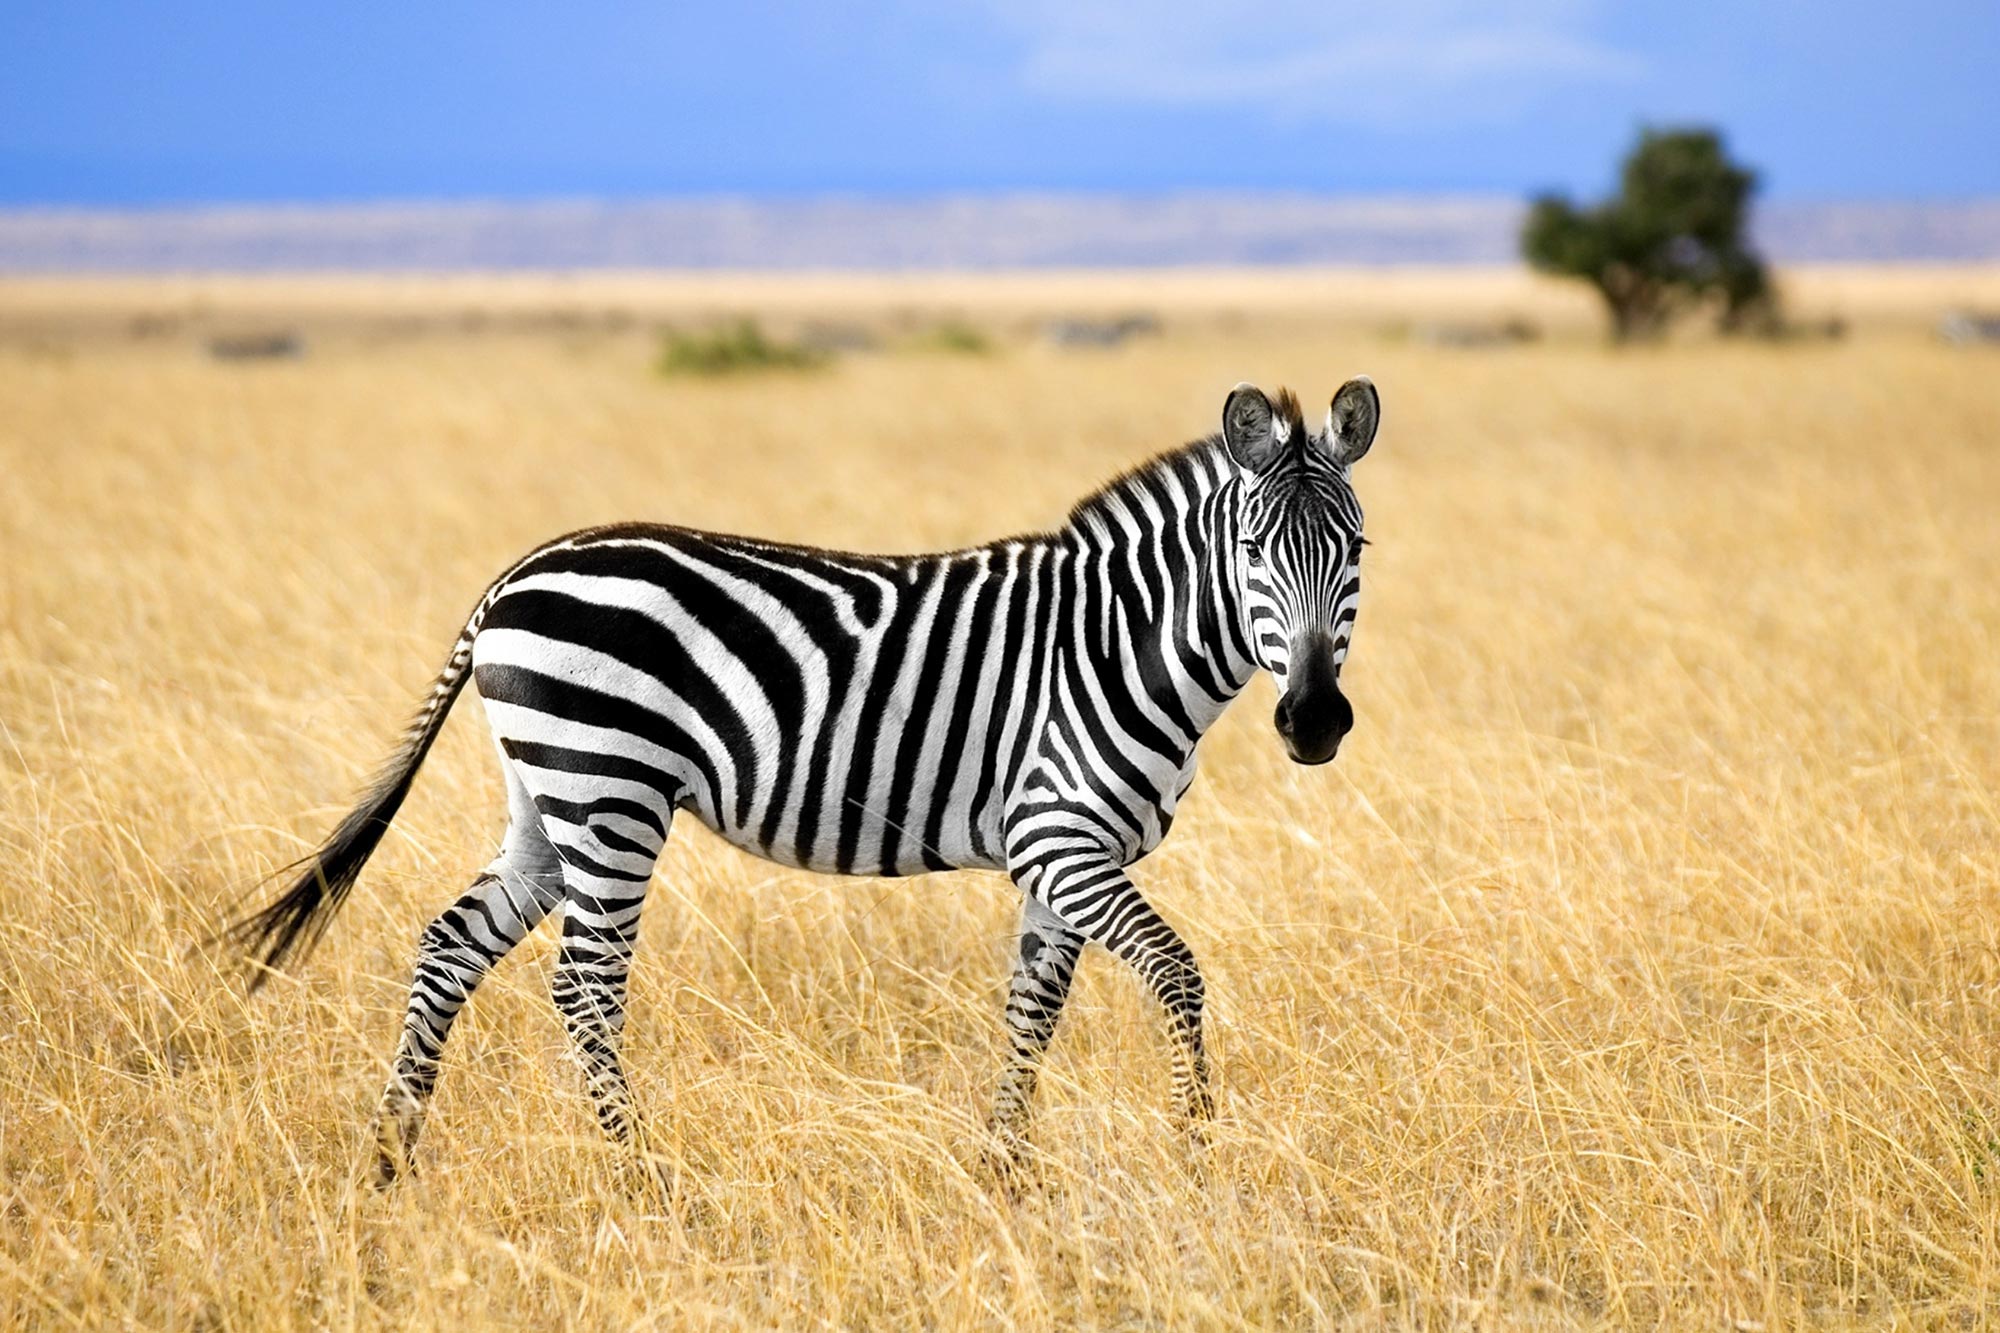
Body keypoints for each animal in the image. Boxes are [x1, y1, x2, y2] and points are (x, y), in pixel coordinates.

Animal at [227, 377, 1380, 1182]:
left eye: (1357, 548)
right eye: (1252, 549)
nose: (1316, 720)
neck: (1115, 642)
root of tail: (515, 574)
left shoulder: (1061, 861)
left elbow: (1031, 1011)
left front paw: (1004, 1174)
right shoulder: (1059, 836)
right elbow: (1178, 975)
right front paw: (1199, 1156)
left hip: (547, 802)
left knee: (447, 947)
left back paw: (392, 1158)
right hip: (611, 790)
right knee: (585, 985)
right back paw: (642, 1179)